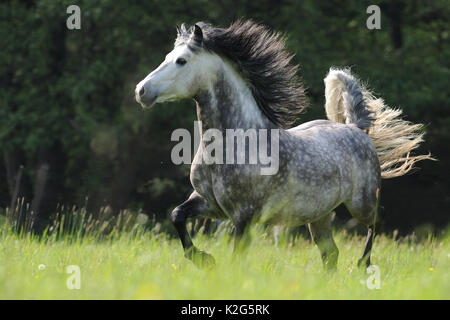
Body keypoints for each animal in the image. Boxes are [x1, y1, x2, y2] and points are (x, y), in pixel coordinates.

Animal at [134, 20, 432, 270]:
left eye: (181, 61)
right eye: (166, 58)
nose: (141, 91)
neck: (232, 143)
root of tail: (356, 129)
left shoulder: (245, 214)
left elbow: (236, 255)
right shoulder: (207, 202)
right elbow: (177, 215)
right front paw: (204, 259)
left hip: (361, 202)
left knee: (378, 219)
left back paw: (362, 264)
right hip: (319, 214)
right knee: (330, 253)